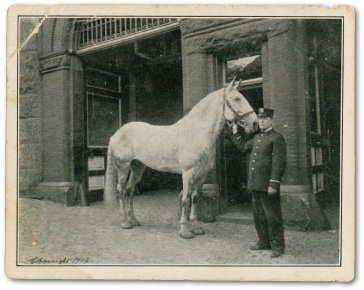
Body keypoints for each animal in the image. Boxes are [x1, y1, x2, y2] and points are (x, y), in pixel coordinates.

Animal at [104, 76, 258, 238]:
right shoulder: (188, 174)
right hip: (123, 166)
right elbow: (186, 199)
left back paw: (133, 220)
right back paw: (124, 222)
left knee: (130, 190)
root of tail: (117, 133)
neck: (196, 132)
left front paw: (196, 228)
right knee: (121, 190)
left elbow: (195, 199)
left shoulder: (202, 175)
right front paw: (185, 230)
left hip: (137, 167)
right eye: (237, 98)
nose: (255, 123)